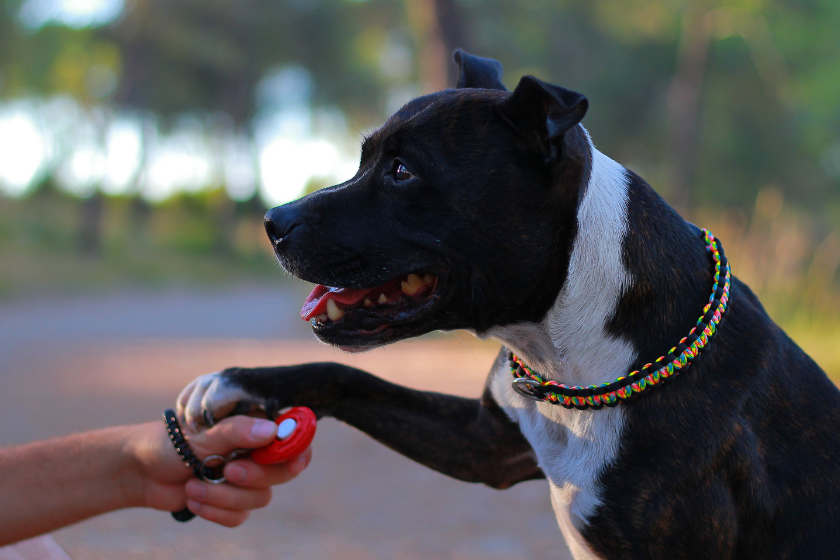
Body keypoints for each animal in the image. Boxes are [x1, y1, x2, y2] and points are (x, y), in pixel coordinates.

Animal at [177, 50, 840, 556]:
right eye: (368, 159)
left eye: (401, 171)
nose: (272, 221)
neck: (569, 354)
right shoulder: (484, 443)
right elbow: (346, 375)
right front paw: (239, 382)